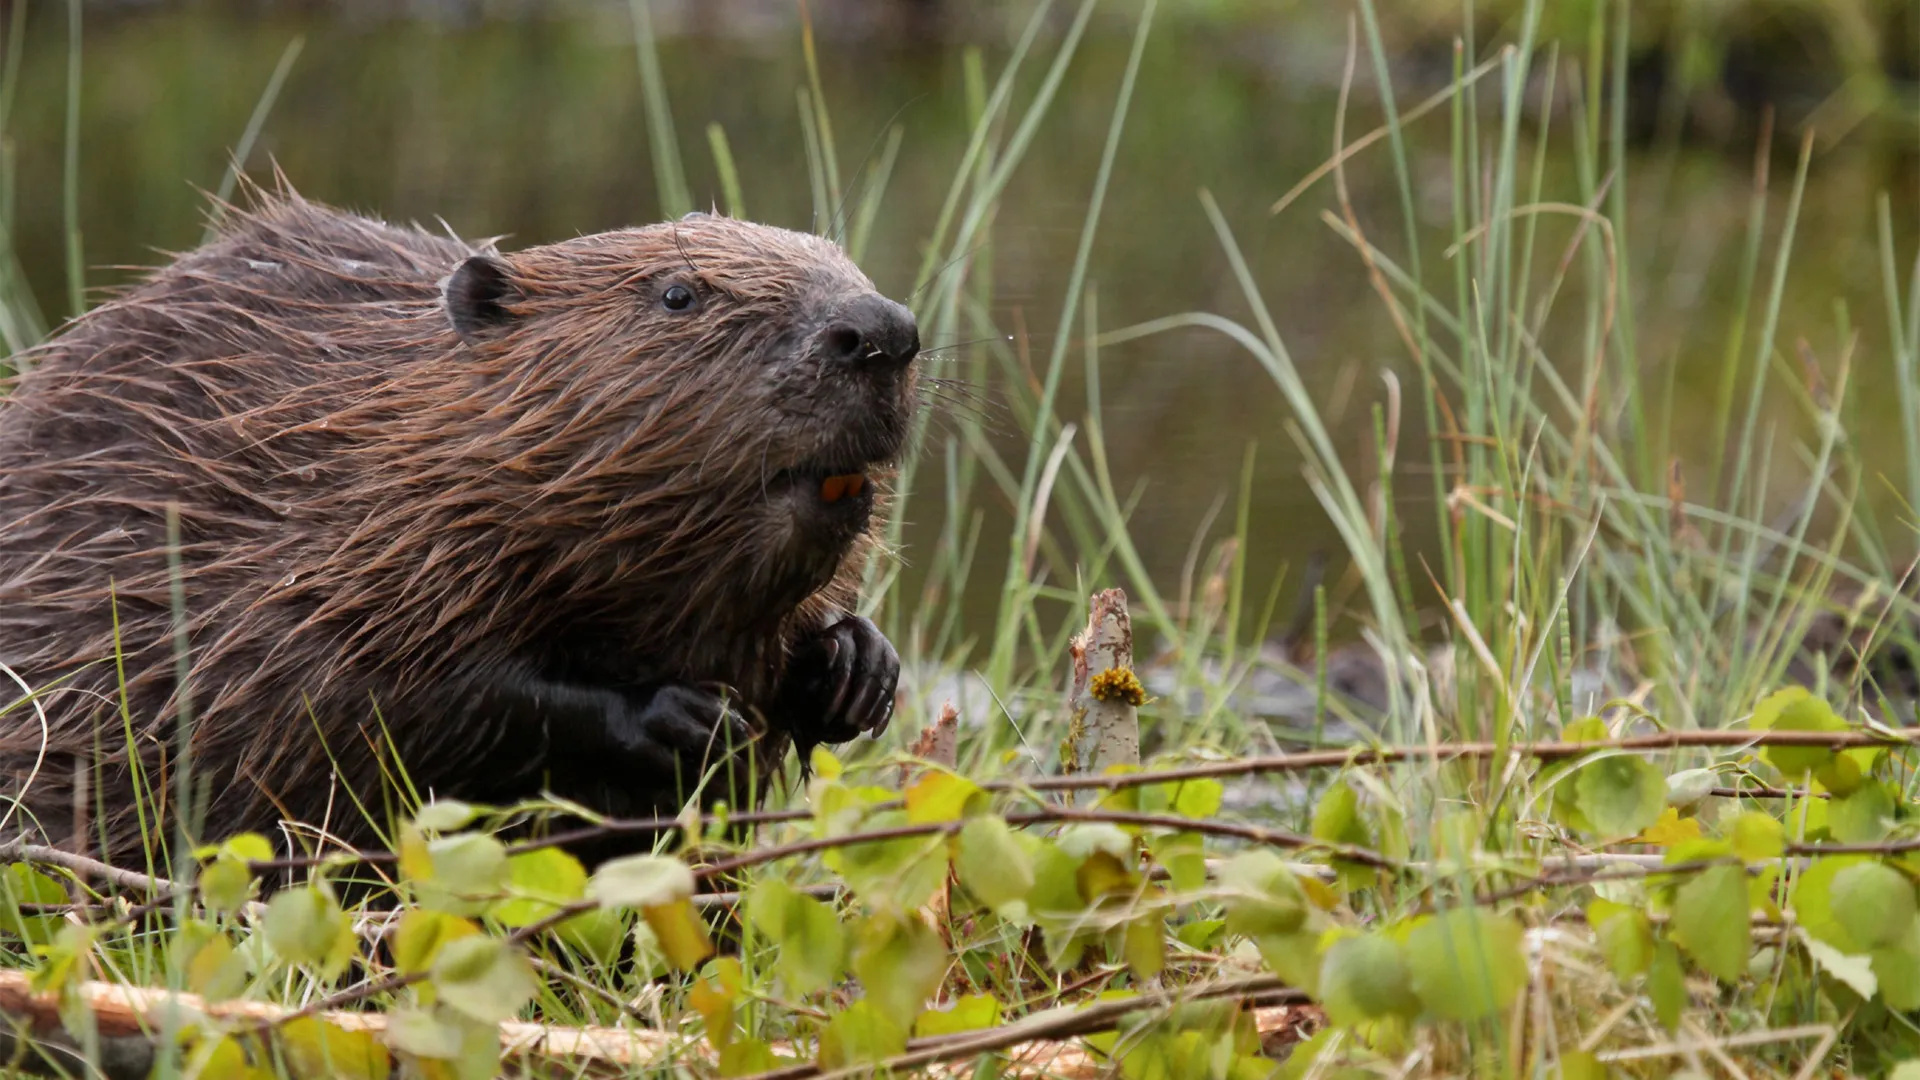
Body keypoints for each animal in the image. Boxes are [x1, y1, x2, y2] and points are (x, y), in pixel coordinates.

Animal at [0, 180, 921, 860]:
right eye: (677, 293)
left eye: (845, 261)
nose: (881, 329)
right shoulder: (307, 555)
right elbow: (381, 697)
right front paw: (682, 716)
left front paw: (856, 668)